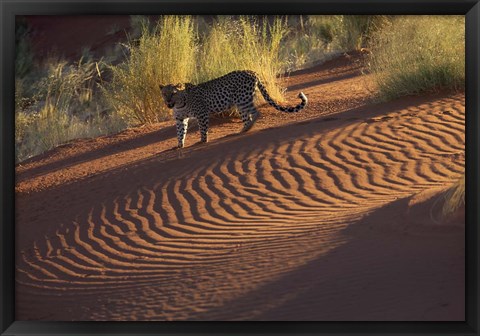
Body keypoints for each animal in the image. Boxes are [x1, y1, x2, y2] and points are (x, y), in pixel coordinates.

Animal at [158, 70, 308, 148]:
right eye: (164, 94)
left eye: (173, 93)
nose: (168, 101)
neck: (179, 104)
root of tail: (252, 71)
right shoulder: (180, 119)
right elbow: (180, 133)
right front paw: (179, 145)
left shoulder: (202, 114)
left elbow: (203, 129)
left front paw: (202, 141)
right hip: (240, 103)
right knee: (248, 116)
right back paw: (243, 130)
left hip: (242, 100)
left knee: (256, 113)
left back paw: (248, 128)